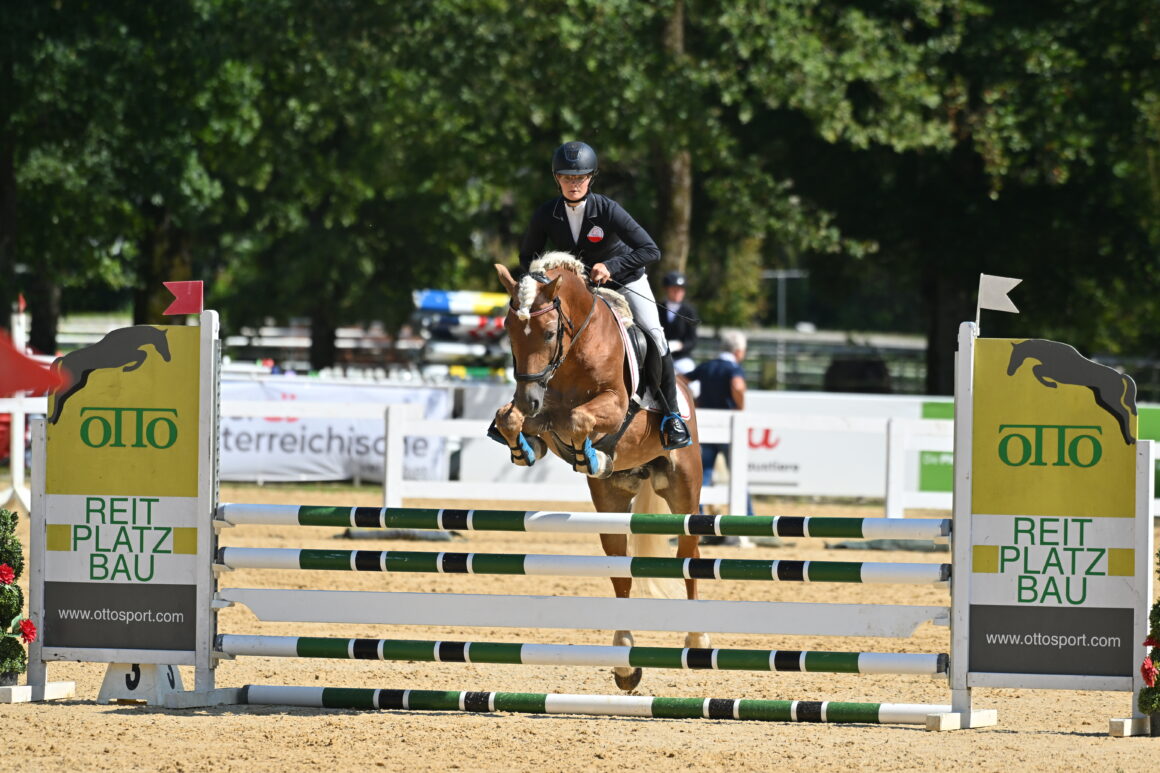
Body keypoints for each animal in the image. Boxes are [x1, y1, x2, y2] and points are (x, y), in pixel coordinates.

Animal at [491, 249, 705, 687]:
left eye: (549, 333)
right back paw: (625, 661)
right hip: (610, 504)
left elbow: (578, 420)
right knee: (621, 572)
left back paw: (695, 641)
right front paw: (525, 448)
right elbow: (511, 419)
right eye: (509, 330)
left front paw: (590, 453)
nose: (530, 398)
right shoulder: (536, 408)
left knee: (689, 557)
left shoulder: (614, 405)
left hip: (684, 493)